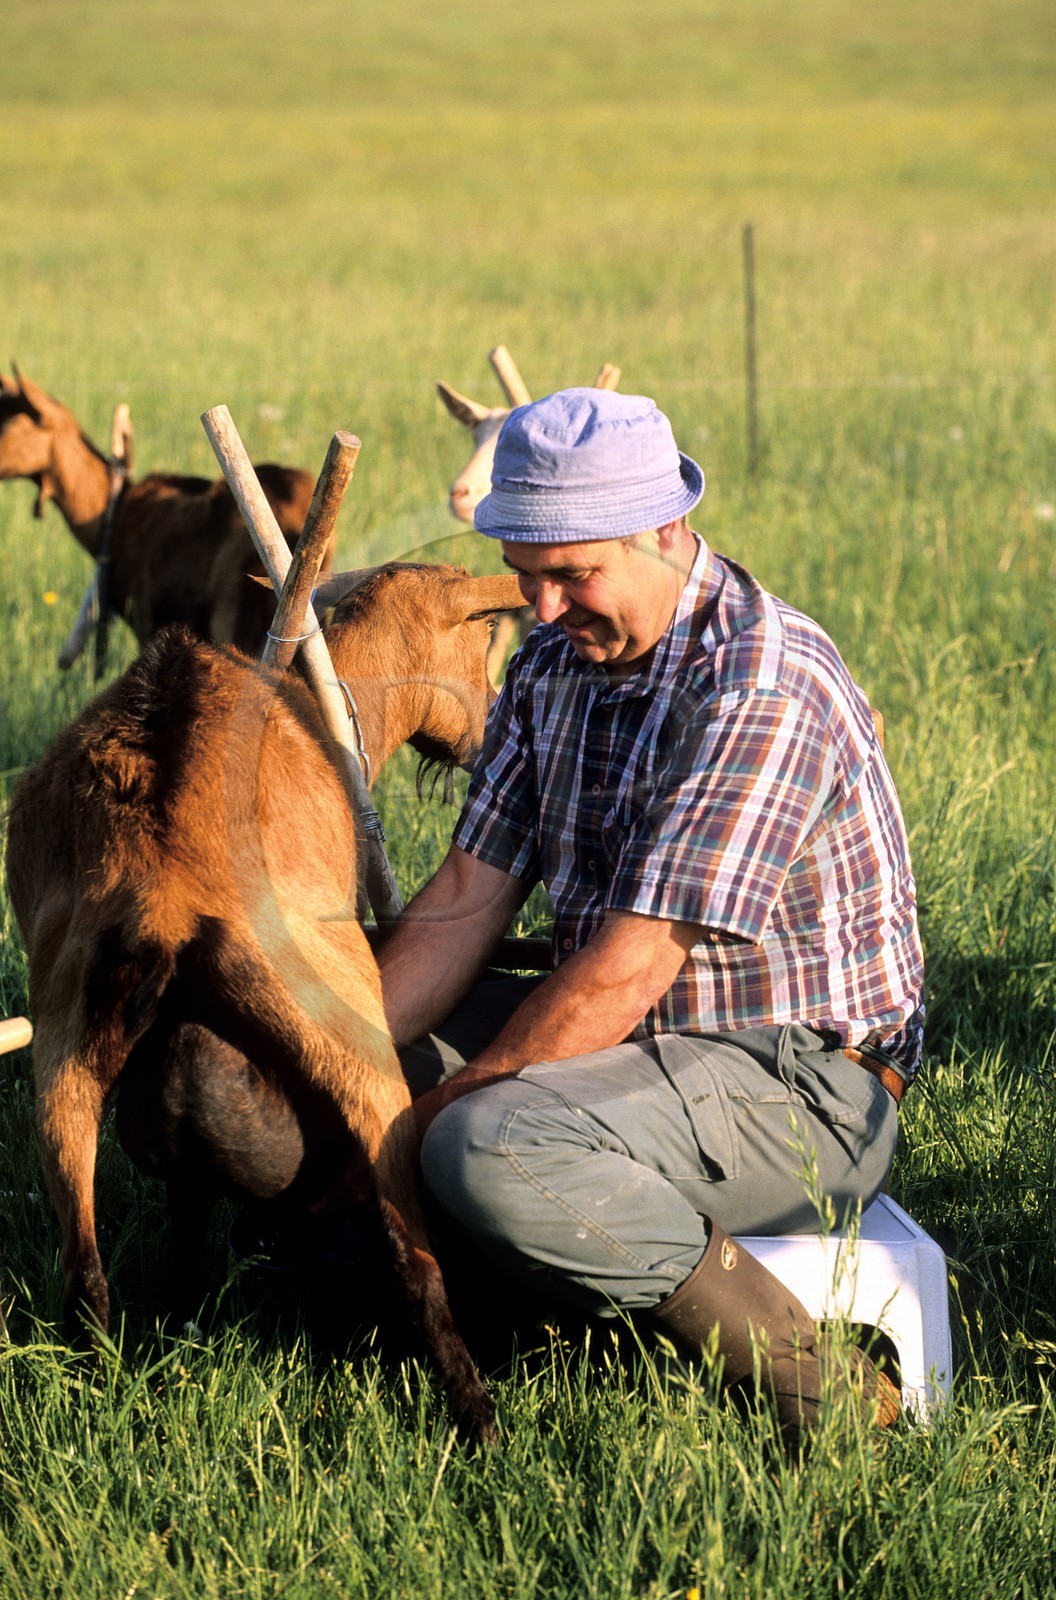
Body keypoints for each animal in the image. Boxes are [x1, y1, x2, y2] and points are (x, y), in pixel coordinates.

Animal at [5, 562, 527, 1442]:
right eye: (483, 632)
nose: (486, 735)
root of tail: (162, 887)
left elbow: (185, 1205)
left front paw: (182, 1311)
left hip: (62, 1043)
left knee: (84, 1277)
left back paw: (103, 1387)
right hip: (351, 1030)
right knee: (413, 1257)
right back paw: (479, 1420)